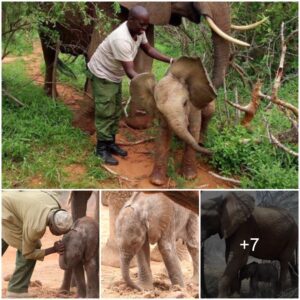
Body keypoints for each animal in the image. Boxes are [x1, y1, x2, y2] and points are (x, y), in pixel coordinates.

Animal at [39, 2, 262, 133]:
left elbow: (146, 56)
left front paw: (138, 123)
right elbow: (97, 48)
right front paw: (86, 127)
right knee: (50, 51)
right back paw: (52, 98)